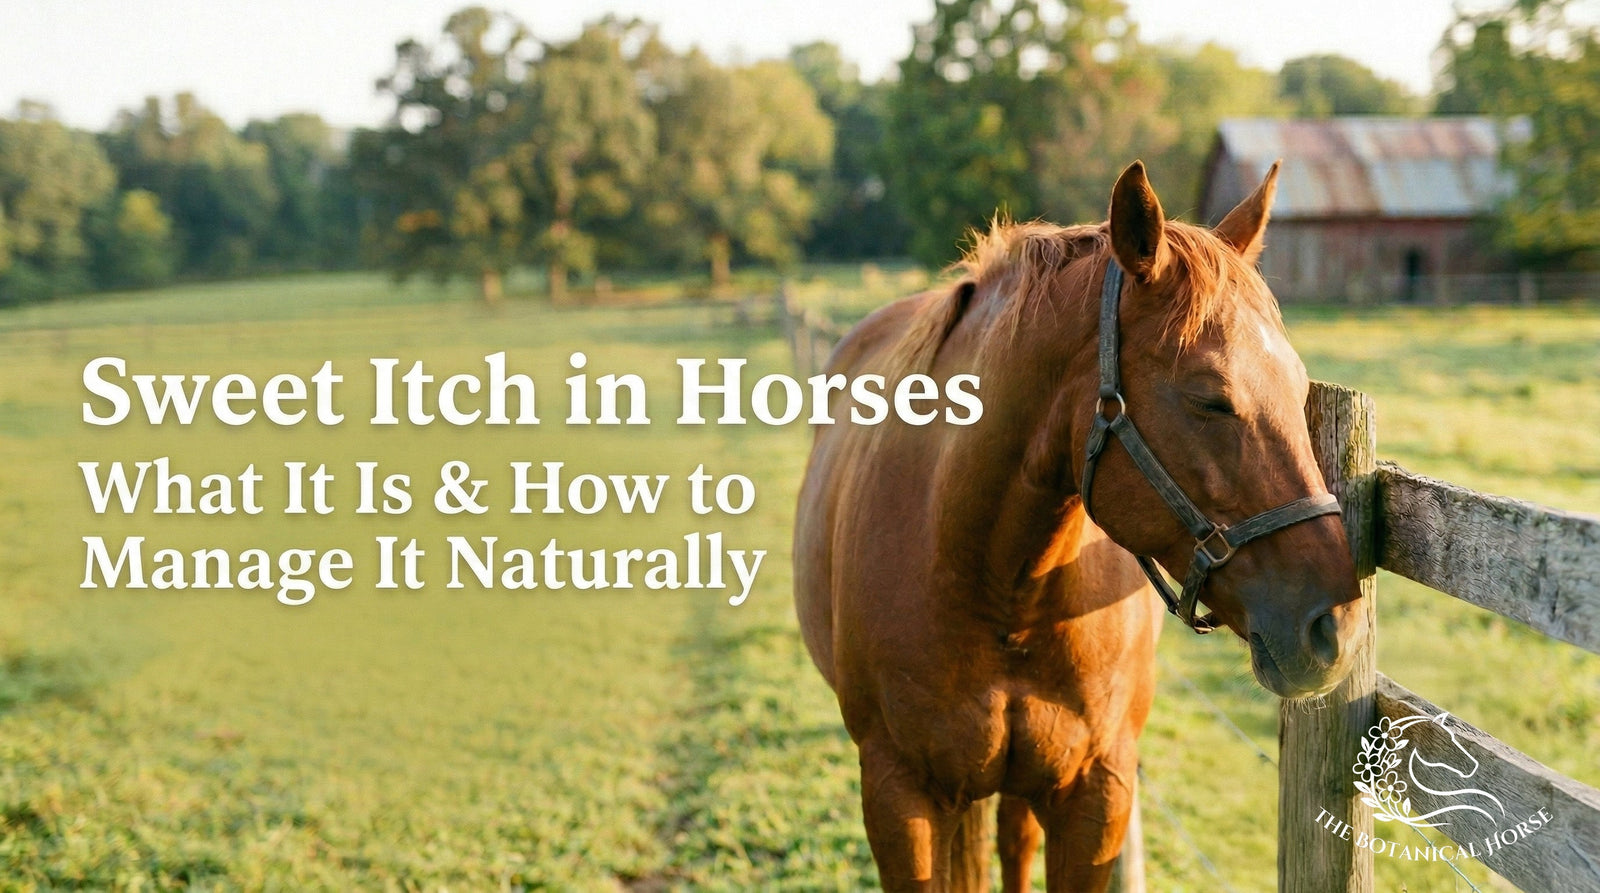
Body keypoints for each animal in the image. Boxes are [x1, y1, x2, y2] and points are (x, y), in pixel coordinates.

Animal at [792, 161, 1369, 892]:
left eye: (1299, 387)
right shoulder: (900, 797)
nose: (1337, 627)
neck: (995, 583)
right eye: (1210, 398)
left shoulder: (1097, 792)